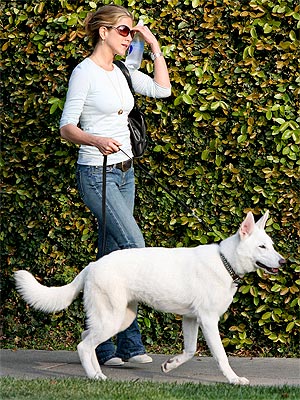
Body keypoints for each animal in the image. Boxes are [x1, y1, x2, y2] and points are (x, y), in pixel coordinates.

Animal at [14, 212, 286, 384]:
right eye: (262, 247)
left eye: (271, 245)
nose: (283, 261)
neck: (224, 261)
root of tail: (91, 266)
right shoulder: (208, 321)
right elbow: (221, 356)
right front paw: (233, 379)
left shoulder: (191, 319)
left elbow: (189, 351)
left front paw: (171, 365)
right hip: (112, 319)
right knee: (83, 345)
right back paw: (94, 376)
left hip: (119, 318)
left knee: (86, 338)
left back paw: (96, 372)